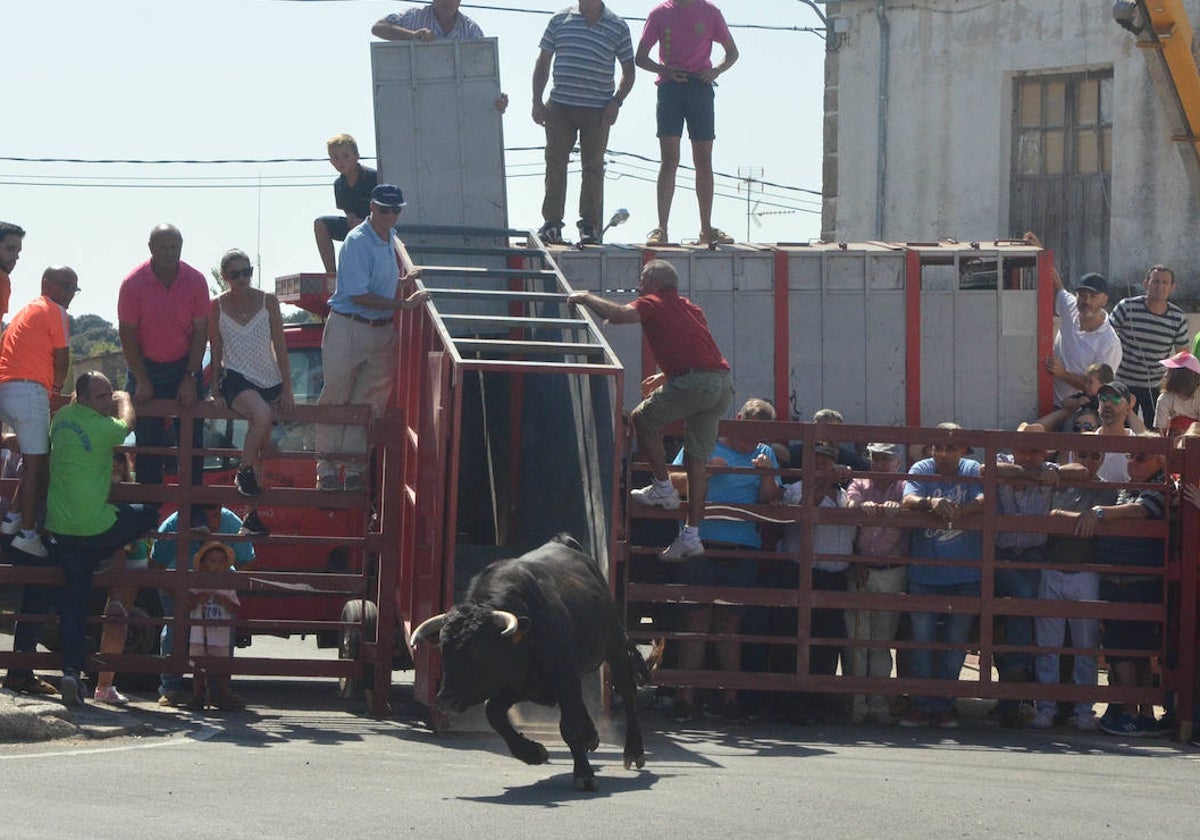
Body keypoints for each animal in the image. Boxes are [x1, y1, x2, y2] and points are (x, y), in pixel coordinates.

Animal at [410, 535, 648, 792]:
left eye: (482, 650)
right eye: (443, 649)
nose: (446, 699)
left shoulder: (564, 679)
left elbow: (569, 727)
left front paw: (584, 774)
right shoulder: (518, 687)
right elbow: (493, 713)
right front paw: (532, 752)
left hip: (615, 645)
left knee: (627, 691)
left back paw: (634, 751)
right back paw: (592, 736)